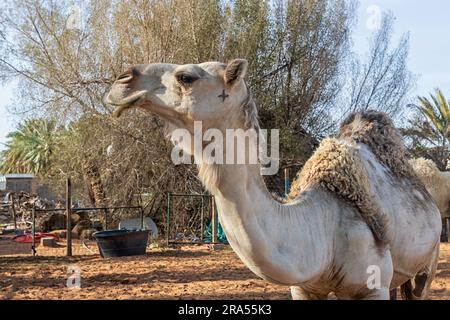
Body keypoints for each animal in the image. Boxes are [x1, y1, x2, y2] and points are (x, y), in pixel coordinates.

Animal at [103, 58, 442, 298]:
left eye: (186, 77)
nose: (122, 80)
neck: (324, 226)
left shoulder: (372, 287)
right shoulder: (304, 288)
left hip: (427, 264)